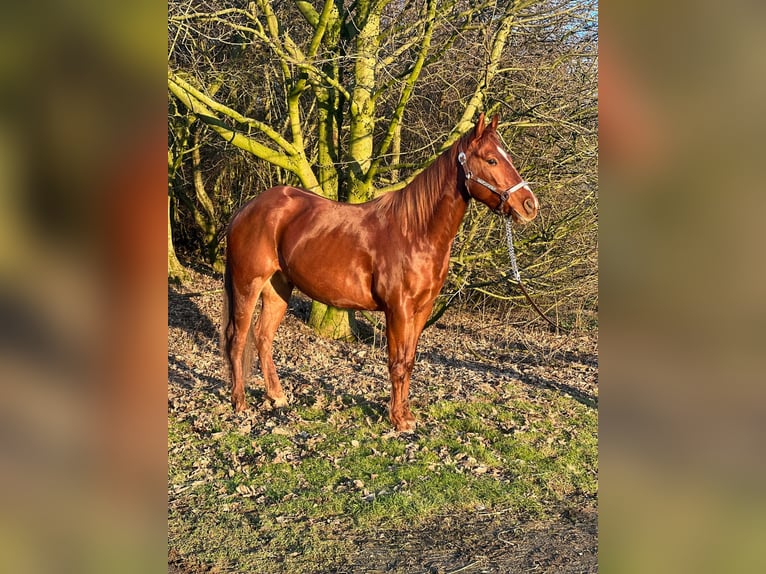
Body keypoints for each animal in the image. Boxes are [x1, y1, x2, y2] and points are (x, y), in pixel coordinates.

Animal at [222, 115, 540, 432]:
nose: (529, 205)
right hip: (247, 285)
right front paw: (398, 419)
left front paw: (406, 414)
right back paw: (239, 403)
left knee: (263, 336)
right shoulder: (397, 309)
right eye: (491, 160)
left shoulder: (422, 310)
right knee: (238, 338)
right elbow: (396, 363)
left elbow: (409, 361)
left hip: (278, 288)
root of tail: (246, 210)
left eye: (507, 156)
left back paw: (277, 396)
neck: (416, 232)